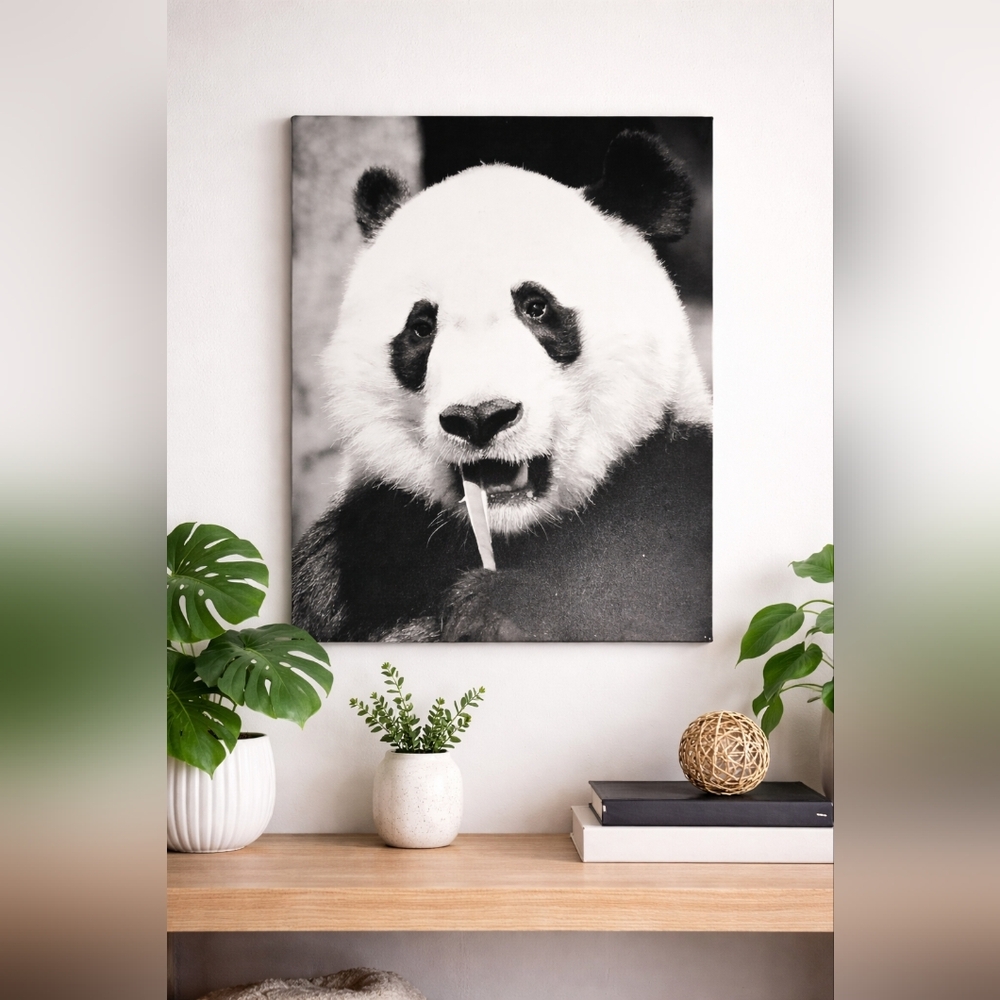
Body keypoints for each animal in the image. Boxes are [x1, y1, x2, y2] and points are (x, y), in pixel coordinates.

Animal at [292, 131, 712, 642]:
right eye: (421, 327)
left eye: (537, 307)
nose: (480, 417)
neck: (509, 533)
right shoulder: (359, 550)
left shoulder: (674, 493)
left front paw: (493, 611)